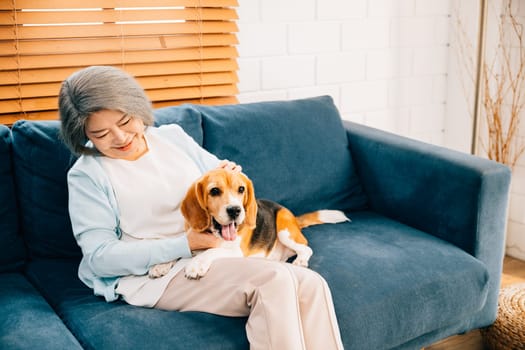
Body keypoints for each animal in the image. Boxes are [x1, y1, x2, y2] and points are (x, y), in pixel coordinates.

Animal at [148, 167, 348, 278]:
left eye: (241, 189)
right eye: (214, 191)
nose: (235, 210)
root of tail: (291, 216)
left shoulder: (236, 251)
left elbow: (211, 251)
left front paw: (196, 265)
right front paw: (160, 265)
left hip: (284, 230)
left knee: (306, 248)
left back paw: (300, 261)